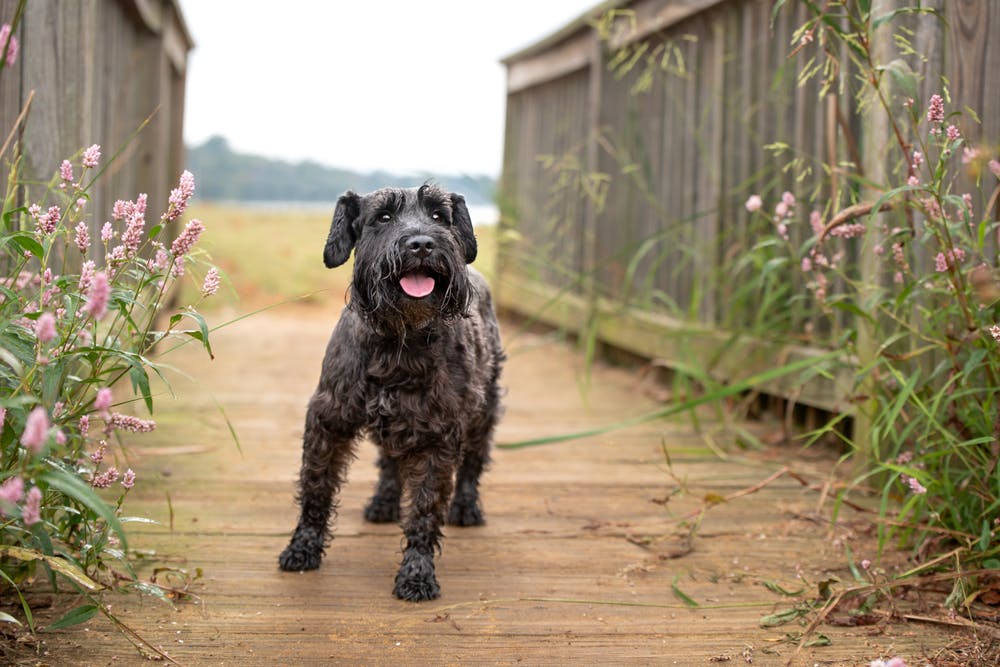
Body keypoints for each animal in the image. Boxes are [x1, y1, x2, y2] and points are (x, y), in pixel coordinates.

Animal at [278, 185, 504, 604]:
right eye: (382, 217)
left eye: (438, 216)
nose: (422, 244)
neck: (398, 340)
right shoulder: (328, 420)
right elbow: (316, 486)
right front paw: (302, 548)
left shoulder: (438, 435)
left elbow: (426, 506)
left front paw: (417, 573)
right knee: (389, 461)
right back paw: (384, 502)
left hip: (485, 410)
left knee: (473, 463)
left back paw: (466, 508)